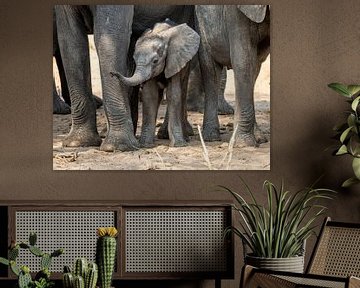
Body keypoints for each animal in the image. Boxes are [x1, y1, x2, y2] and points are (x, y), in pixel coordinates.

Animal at [54, 5, 194, 152]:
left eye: (156, 61)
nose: (113, 73)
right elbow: (70, 39)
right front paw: (78, 143)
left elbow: (111, 35)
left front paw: (117, 146)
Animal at [195, 5, 268, 146]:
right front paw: (244, 144)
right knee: (210, 71)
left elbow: (254, 62)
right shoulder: (234, 13)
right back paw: (211, 137)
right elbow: (243, 60)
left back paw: (259, 138)